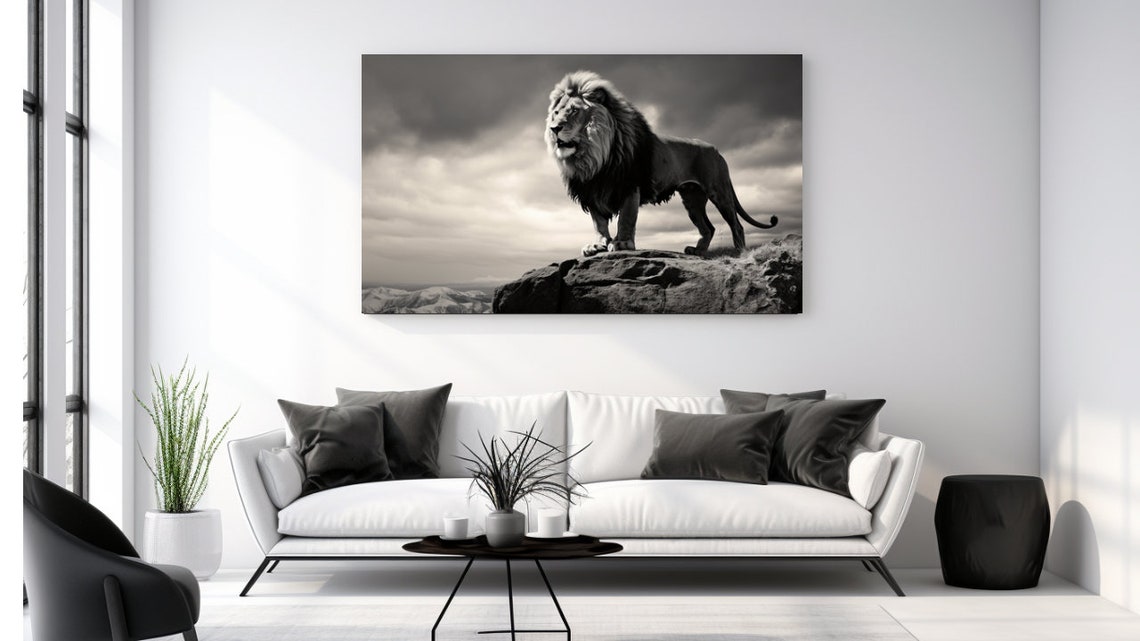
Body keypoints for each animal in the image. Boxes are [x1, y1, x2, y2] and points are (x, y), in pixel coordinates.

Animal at [546, 70, 778, 257]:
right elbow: (599, 223)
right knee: (709, 228)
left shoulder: (630, 185)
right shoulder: (591, 189)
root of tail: (717, 151)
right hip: (692, 198)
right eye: (556, 113)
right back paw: (697, 251)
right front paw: (597, 245)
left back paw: (739, 252)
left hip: (718, 191)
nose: (554, 128)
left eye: (574, 111)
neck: (593, 155)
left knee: (736, 224)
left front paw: (622, 243)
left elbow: (626, 218)